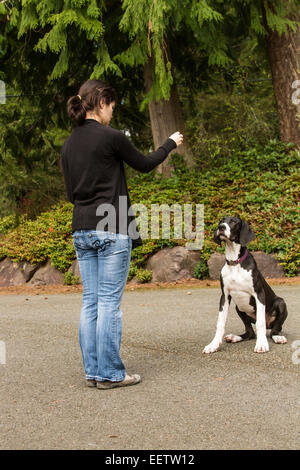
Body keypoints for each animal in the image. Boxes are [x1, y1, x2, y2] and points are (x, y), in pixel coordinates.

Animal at [203, 217, 288, 352]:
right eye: (221, 220)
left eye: (233, 221)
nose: (221, 227)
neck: (235, 262)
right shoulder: (224, 296)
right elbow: (220, 323)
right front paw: (213, 345)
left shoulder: (259, 294)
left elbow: (260, 323)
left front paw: (261, 344)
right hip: (239, 307)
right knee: (250, 333)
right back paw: (235, 337)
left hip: (281, 303)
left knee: (274, 329)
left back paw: (277, 337)